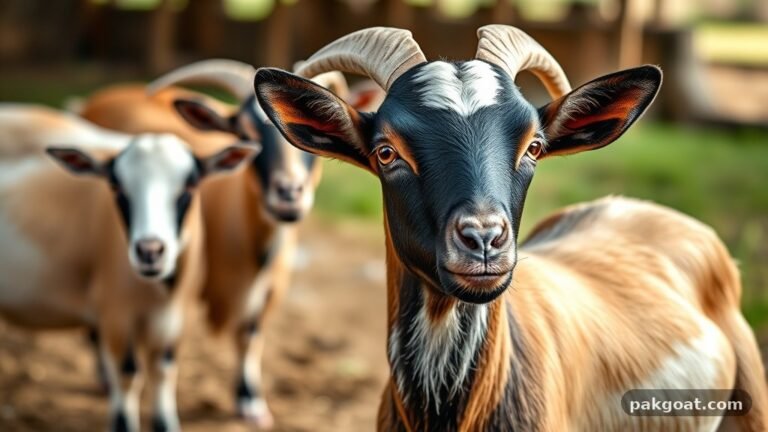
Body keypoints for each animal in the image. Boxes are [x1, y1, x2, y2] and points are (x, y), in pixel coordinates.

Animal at [0, 104, 256, 432]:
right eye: (116, 185)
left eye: (190, 185)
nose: (150, 252)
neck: (160, 290)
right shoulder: (116, 315)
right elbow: (127, 374)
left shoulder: (173, 318)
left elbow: (163, 370)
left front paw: (166, 423)